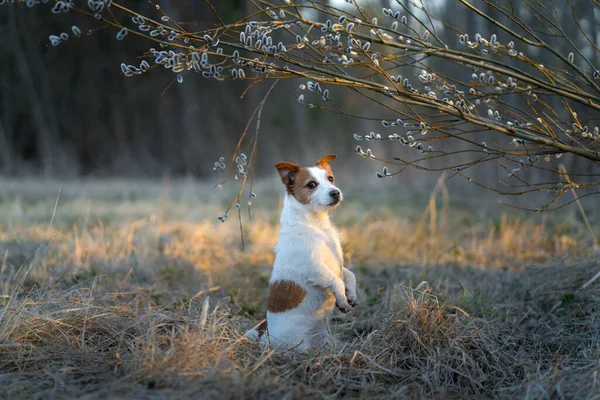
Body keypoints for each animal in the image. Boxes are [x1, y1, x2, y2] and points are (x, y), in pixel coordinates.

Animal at [246, 154, 358, 350]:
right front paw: (342, 300)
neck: (316, 224)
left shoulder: (337, 264)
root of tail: (266, 337)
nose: (335, 192)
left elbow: (349, 275)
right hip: (299, 343)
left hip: (323, 335)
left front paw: (350, 294)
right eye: (311, 184)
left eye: (330, 179)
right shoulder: (313, 268)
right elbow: (336, 281)